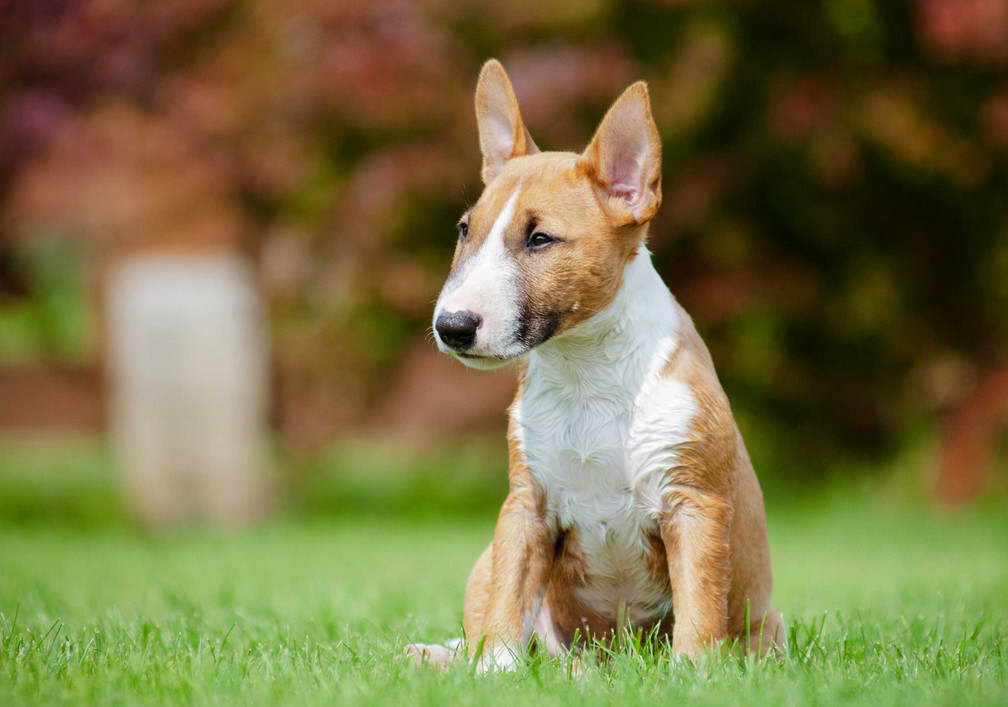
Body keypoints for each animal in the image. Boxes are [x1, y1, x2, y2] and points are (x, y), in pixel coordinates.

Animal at [405, 59, 782, 665]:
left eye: (540, 239)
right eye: (465, 230)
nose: (453, 327)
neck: (587, 372)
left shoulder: (693, 505)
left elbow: (699, 610)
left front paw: (694, 672)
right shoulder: (526, 508)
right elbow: (505, 607)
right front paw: (493, 672)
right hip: (487, 564)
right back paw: (437, 656)